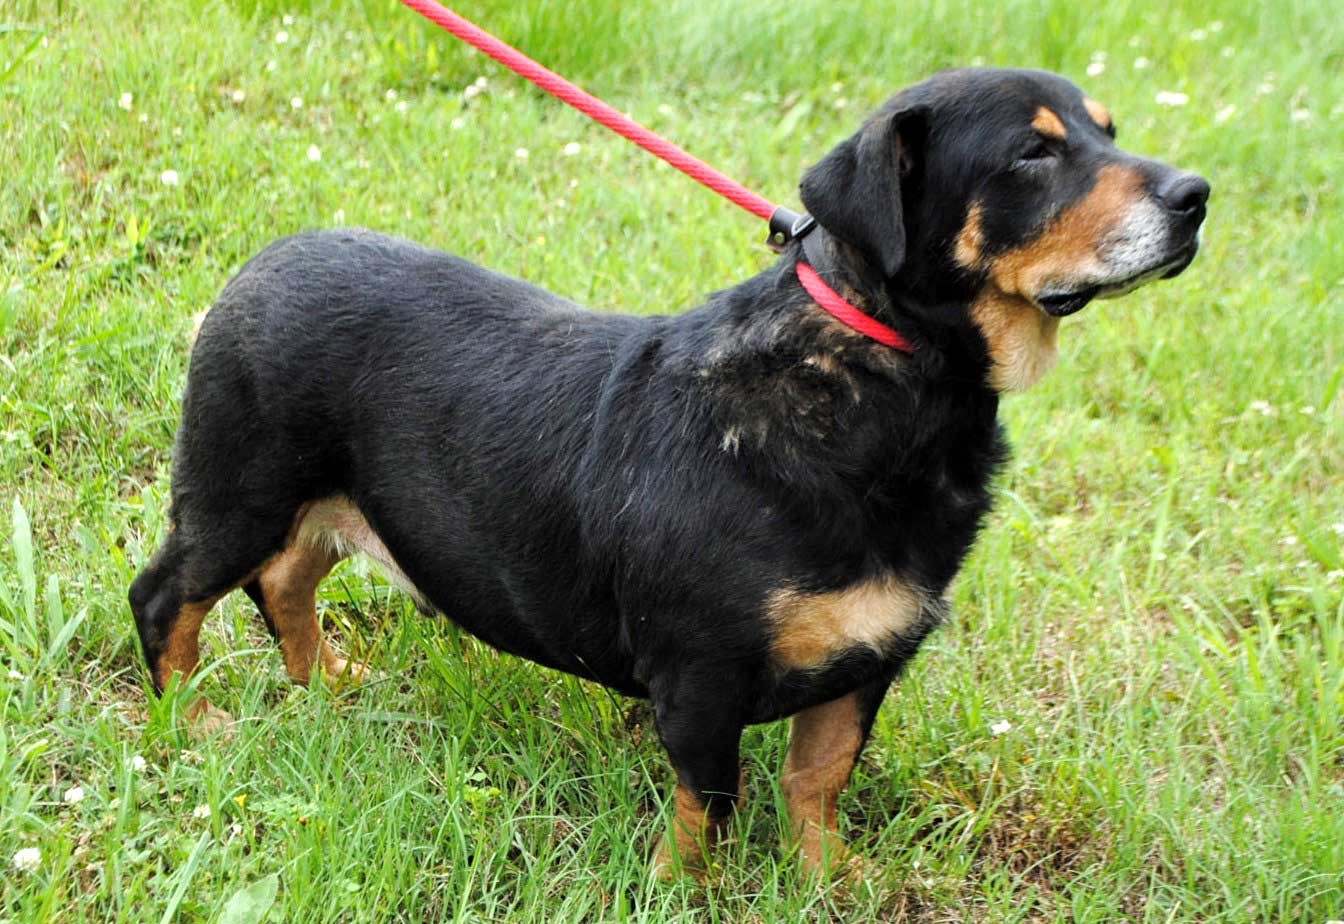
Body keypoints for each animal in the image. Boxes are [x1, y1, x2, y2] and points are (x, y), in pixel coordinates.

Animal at [131, 68, 1214, 875]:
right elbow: (712, 807)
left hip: (324, 503)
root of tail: (263, 263)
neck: (882, 382)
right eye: (1034, 151)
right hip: (240, 490)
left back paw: (323, 679)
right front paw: (687, 888)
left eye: (1108, 131)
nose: (1197, 197)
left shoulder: (869, 660)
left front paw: (829, 879)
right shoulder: (701, 677)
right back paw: (188, 722)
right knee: (169, 596)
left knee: (284, 580)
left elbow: (819, 781)